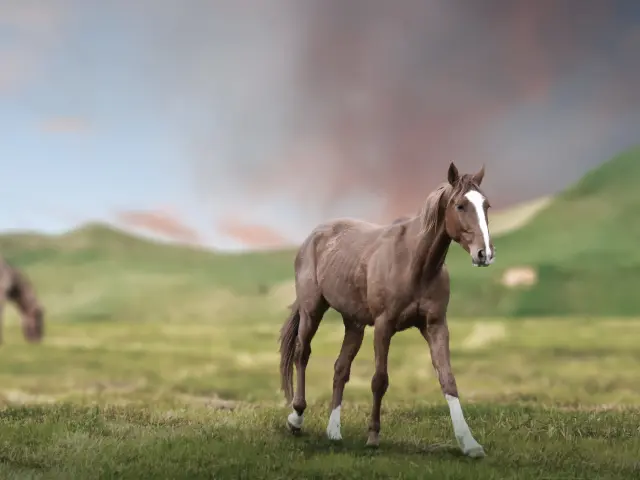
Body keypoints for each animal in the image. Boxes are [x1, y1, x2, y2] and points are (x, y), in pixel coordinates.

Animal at [279, 162, 495, 458]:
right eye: (460, 205)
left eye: (486, 205)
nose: (485, 254)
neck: (415, 263)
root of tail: (315, 235)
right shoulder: (384, 326)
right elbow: (379, 380)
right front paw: (373, 436)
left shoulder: (436, 326)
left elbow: (448, 379)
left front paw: (470, 443)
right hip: (312, 311)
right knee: (302, 354)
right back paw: (296, 418)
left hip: (354, 324)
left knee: (340, 368)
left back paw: (334, 431)